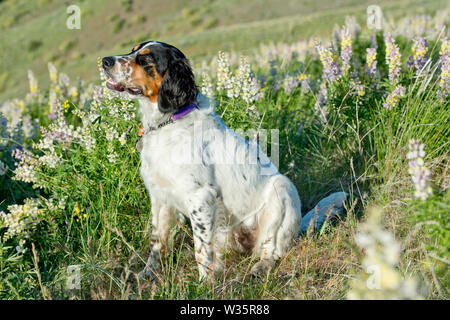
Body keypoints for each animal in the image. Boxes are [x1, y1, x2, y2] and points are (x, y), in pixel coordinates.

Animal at [103, 40, 348, 280]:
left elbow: (201, 249)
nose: (105, 61)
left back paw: (261, 267)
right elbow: (157, 242)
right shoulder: (160, 198)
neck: (169, 121)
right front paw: (147, 274)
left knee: (272, 249)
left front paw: (204, 284)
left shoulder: (200, 197)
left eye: (145, 60)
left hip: (282, 188)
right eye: (133, 51)